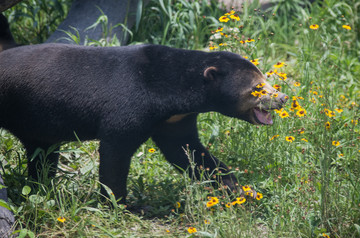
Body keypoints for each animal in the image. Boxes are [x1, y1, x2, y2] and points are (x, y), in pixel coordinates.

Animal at [0, 43, 286, 202]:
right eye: (257, 88)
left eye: (265, 80)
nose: (282, 98)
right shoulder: (130, 104)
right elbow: (115, 151)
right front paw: (115, 203)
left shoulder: (174, 120)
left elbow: (187, 151)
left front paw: (241, 190)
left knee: (42, 154)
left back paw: (41, 188)